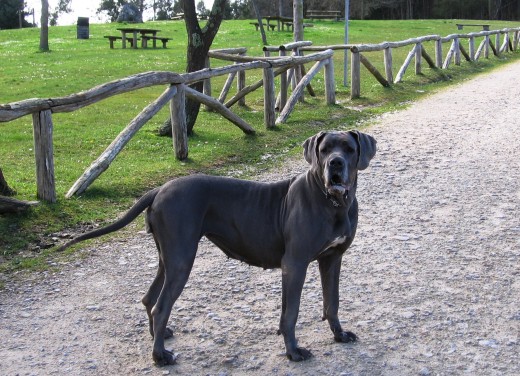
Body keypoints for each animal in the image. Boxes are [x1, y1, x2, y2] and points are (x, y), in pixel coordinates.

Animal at [60, 131, 378, 366]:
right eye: (324, 150)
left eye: (348, 148)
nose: (335, 164)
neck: (332, 203)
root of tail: (159, 190)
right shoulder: (295, 264)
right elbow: (292, 312)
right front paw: (293, 351)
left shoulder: (332, 259)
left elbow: (331, 301)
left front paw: (339, 335)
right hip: (181, 259)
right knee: (161, 306)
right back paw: (160, 356)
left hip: (168, 257)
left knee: (149, 299)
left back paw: (158, 339)